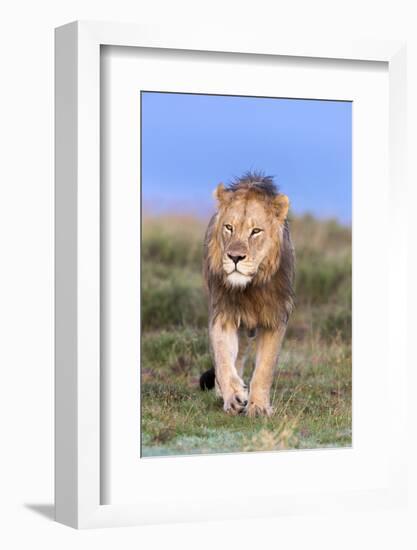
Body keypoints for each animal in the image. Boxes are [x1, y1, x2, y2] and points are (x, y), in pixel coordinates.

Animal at [199, 172, 294, 418]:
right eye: (229, 227)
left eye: (256, 231)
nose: (234, 257)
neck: (250, 288)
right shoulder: (223, 314)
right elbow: (223, 359)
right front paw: (234, 397)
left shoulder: (275, 318)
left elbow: (264, 369)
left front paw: (258, 407)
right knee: (236, 357)